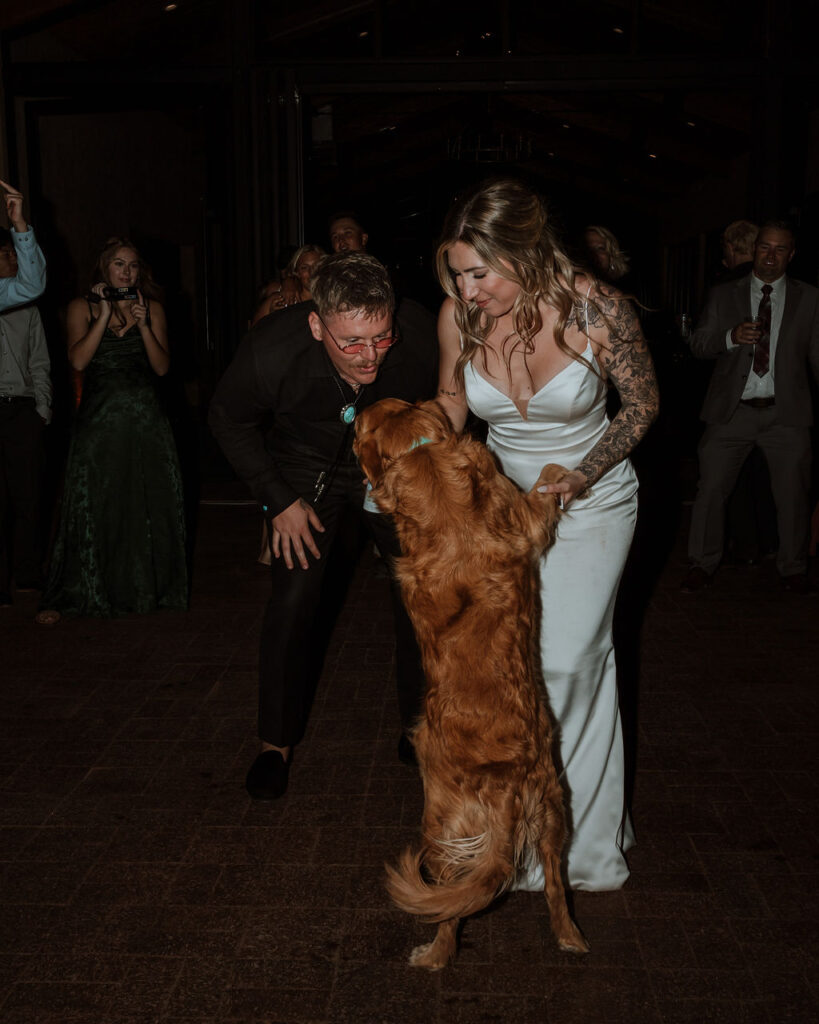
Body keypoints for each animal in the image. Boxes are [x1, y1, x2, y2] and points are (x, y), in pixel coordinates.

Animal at [352, 397, 589, 966]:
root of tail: (505, 787)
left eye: (357, 429)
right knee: (555, 888)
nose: (354, 404)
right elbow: (543, 488)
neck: (425, 457)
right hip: (554, 814)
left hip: (441, 827)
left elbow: (549, 470)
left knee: (449, 909)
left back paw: (432, 955)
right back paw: (570, 936)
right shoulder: (524, 522)